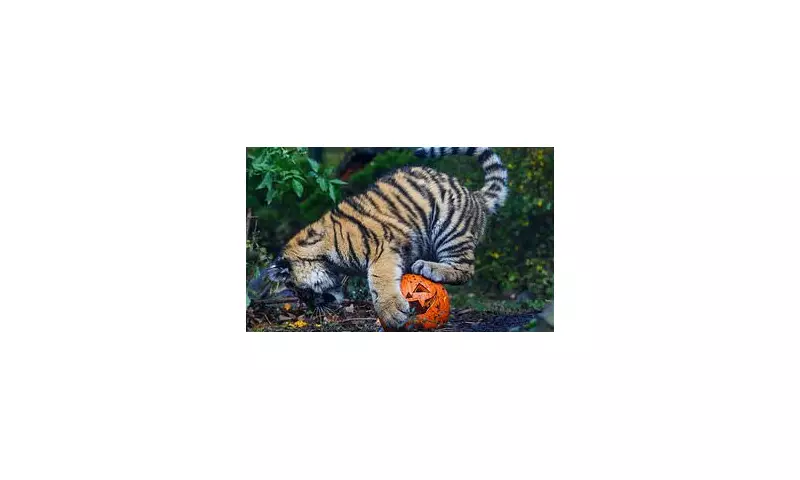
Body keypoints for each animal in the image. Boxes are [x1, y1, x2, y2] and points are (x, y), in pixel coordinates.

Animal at [266, 147, 508, 329]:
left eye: (301, 292)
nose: (310, 309)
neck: (329, 257)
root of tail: (476, 196)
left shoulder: (383, 247)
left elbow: (379, 278)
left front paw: (391, 313)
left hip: (449, 229)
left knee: (464, 269)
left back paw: (428, 267)